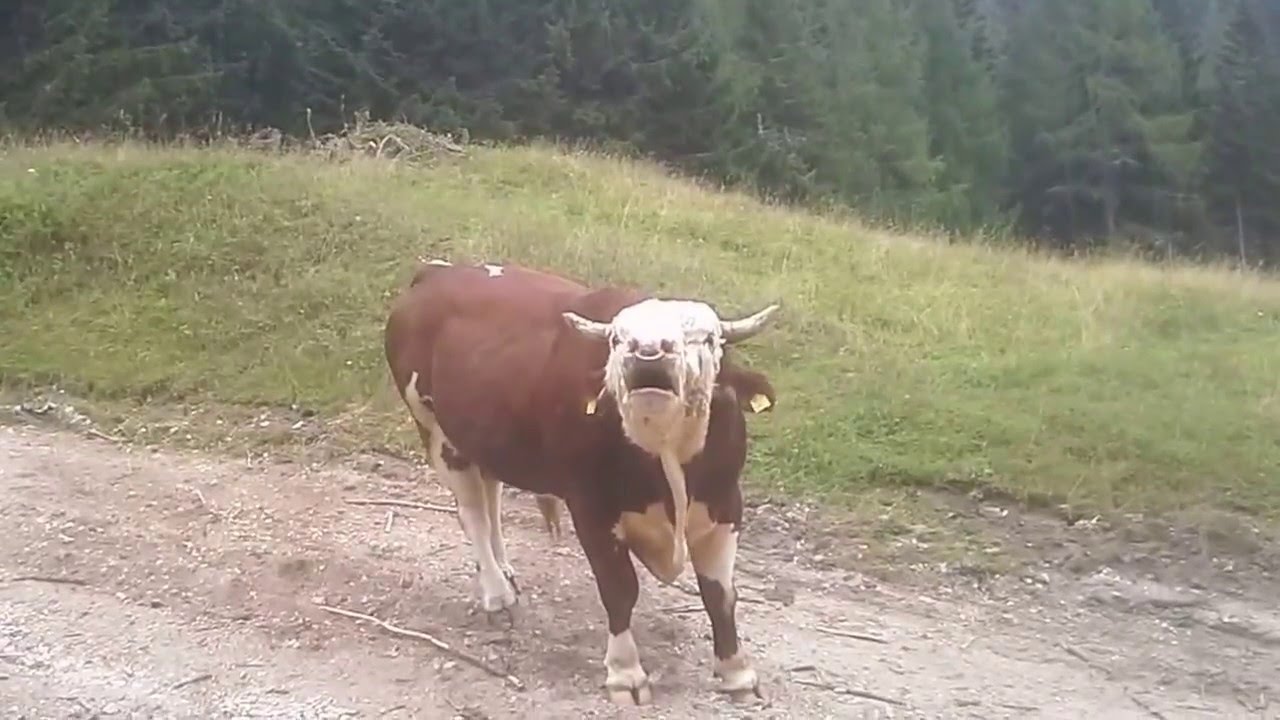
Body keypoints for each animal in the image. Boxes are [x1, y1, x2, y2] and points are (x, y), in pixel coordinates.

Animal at [382, 258, 780, 705]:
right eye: (617, 340)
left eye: (707, 339)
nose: (648, 352)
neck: (665, 456)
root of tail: (438, 271)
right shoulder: (590, 508)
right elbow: (620, 589)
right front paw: (626, 673)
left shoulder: (726, 503)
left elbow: (720, 594)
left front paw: (736, 672)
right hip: (437, 431)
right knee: (473, 515)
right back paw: (496, 592)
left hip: (486, 437)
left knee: (492, 496)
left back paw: (505, 570)